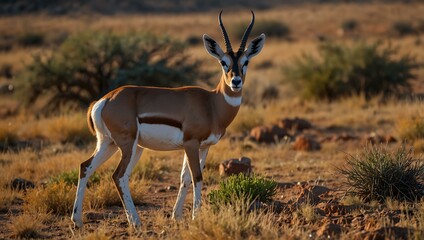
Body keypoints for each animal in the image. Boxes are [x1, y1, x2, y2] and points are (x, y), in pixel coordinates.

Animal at [71, 10, 266, 228]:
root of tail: (104, 100)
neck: (211, 103)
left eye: (245, 62)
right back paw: (135, 222)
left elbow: (185, 178)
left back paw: (77, 220)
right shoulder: (191, 144)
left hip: (110, 144)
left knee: (86, 167)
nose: (236, 81)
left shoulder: (204, 147)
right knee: (119, 175)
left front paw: (176, 216)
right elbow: (197, 177)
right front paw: (196, 217)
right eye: (223, 62)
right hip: (128, 145)